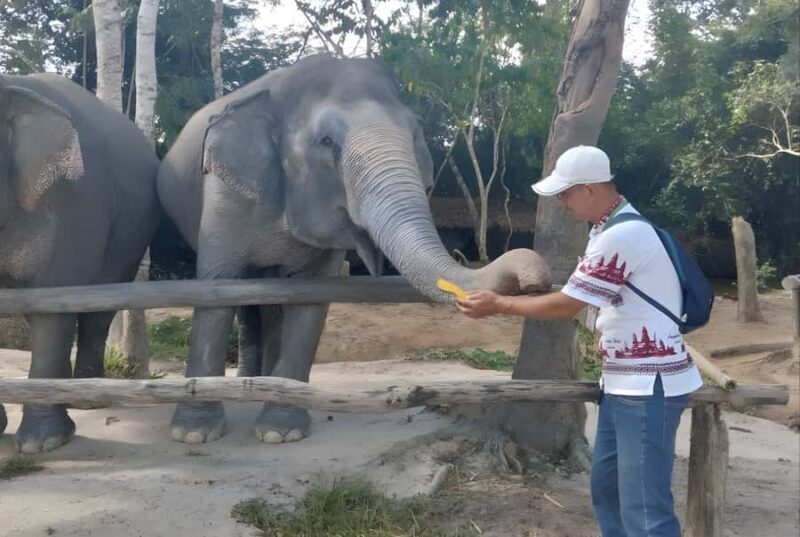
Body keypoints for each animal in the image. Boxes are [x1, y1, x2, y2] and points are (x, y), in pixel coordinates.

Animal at [0, 74, 160, 452]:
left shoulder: (72, 202)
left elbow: (53, 308)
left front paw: (42, 444)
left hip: (130, 233)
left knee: (97, 313)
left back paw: (87, 401)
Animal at [157, 54, 551, 445]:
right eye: (327, 141)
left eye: (414, 133)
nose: (537, 278)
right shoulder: (223, 193)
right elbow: (215, 292)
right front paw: (193, 434)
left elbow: (311, 302)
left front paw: (282, 432)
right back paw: (246, 384)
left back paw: (261, 384)